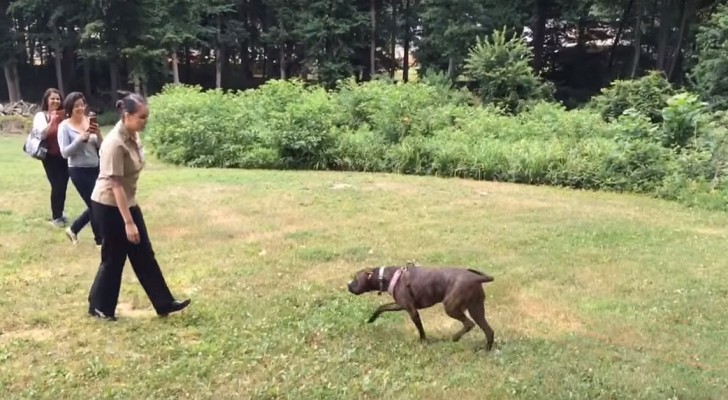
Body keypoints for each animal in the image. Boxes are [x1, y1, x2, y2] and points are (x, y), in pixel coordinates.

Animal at [346, 262, 494, 350]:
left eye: (356, 278)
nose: (348, 285)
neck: (386, 276)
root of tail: (476, 278)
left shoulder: (412, 311)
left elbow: (420, 329)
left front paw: (424, 342)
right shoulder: (399, 305)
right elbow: (381, 307)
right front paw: (371, 319)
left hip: (451, 307)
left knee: (469, 324)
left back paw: (455, 338)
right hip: (476, 309)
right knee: (489, 331)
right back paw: (486, 349)